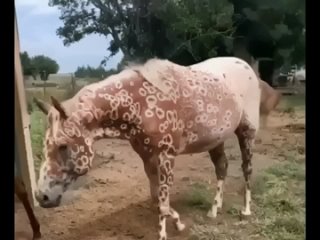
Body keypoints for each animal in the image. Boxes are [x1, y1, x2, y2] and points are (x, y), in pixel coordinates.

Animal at [33, 56, 262, 240]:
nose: (42, 197)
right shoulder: (147, 157)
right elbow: (157, 198)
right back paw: (214, 210)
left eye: (63, 146)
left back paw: (246, 210)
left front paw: (166, 232)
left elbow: (163, 201)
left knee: (247, 169)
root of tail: (246, 66)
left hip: (247, 132)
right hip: (216, 140)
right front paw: (178, 223)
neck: (141, 105)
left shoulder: (166, 156)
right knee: (222, 168)